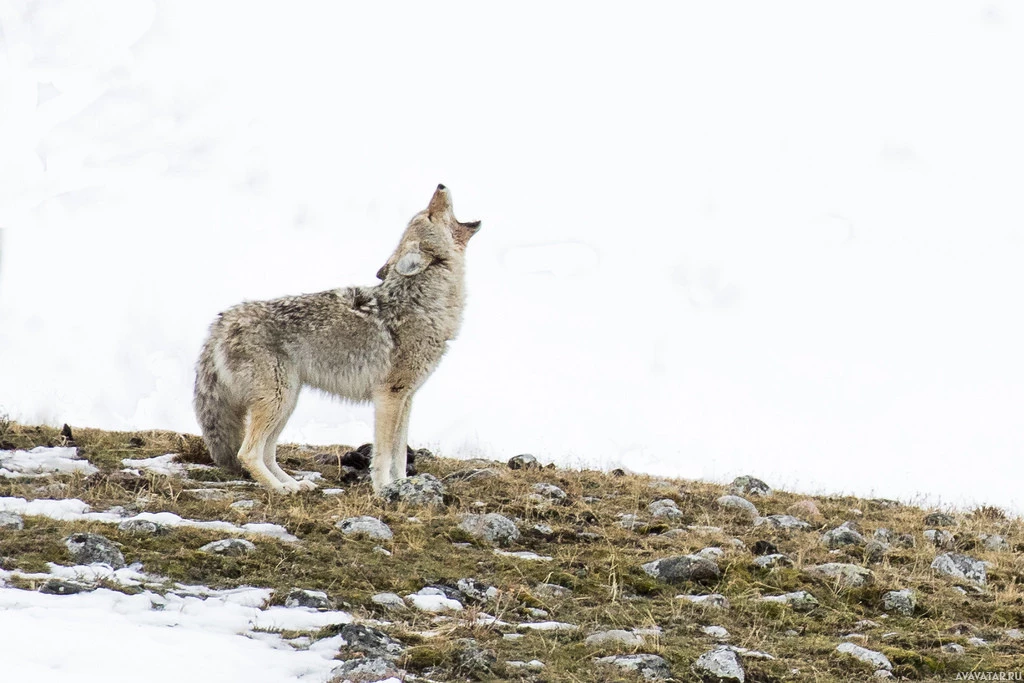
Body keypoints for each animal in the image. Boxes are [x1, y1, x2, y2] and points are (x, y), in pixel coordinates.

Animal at [192, 187, 479, 493]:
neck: (423, 302)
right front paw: (382, 490)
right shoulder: (388, 397)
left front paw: (402, 485)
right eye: (428, 215)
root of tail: (221, 322)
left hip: (286, 402)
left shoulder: (407, 398)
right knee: (248, 453)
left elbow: (400, 454)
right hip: (278, 401)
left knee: (267, 453)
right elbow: (384, 454)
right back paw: (281, 489)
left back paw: (295, 485)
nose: (440, 186)